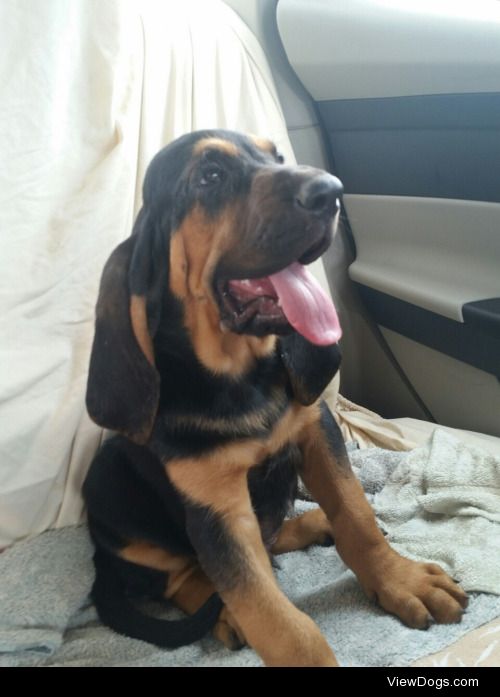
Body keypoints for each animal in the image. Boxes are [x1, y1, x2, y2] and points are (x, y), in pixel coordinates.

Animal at [83, 128, 468, 668]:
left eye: (277, 156)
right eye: (210, 176)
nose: (331, 192)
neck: (240, 377)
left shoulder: (317, 431)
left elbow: (357, 518)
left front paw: (400, 579)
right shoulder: (217, 509)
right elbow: (274, 617)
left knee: (270, 538)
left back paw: (312, 525)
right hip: (107, 486)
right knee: (185, 577)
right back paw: (223, 612)